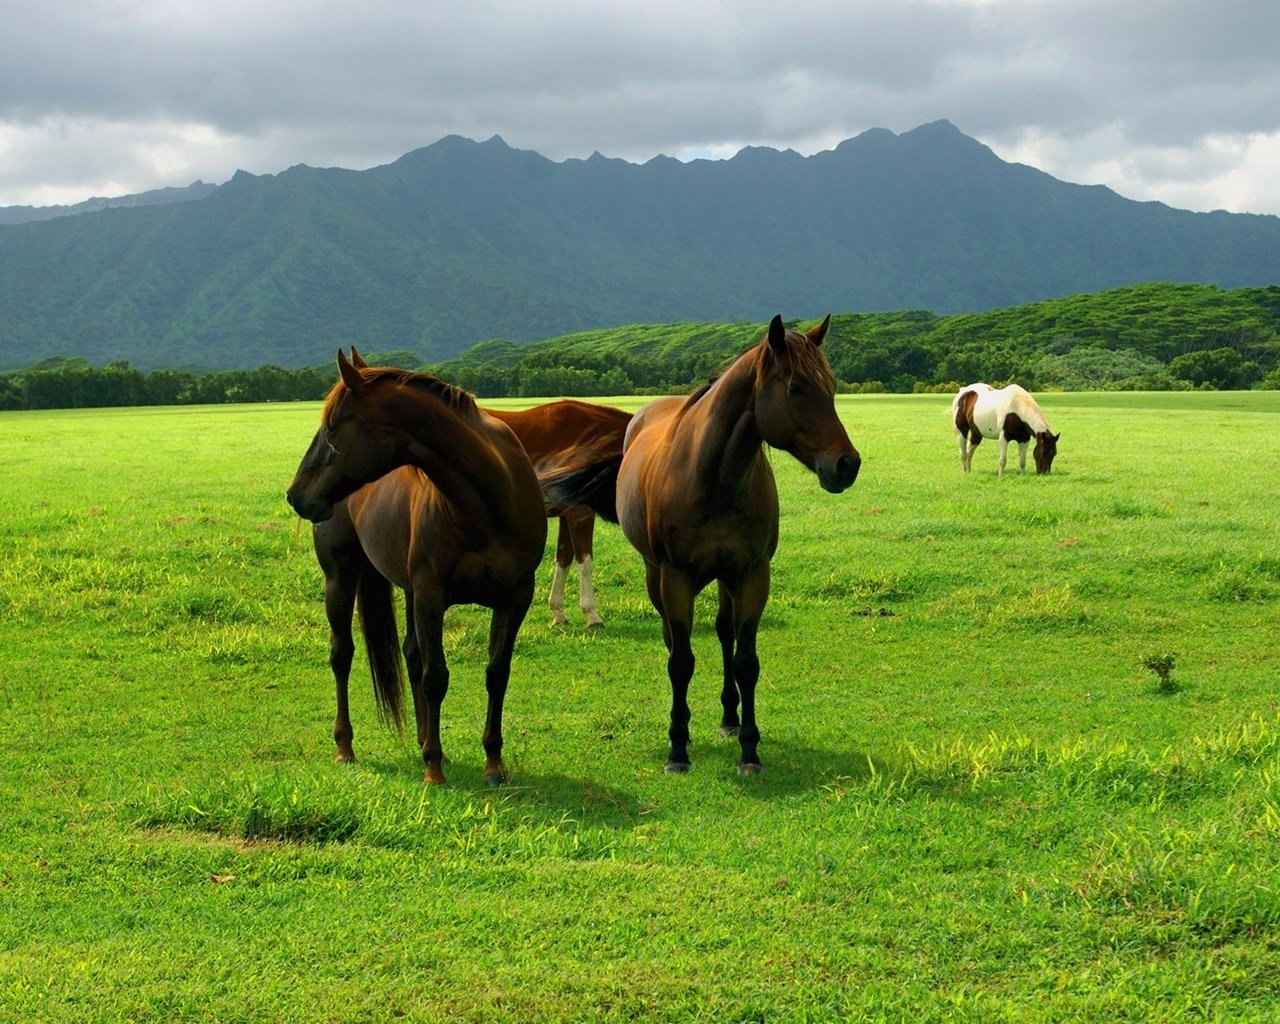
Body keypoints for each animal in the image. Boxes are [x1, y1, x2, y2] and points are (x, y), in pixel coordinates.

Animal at [285, 350, 545, 783]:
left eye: (333, 428)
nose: (295, 495)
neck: (488, 502)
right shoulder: (431, 596)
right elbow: (435, 676)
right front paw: (433, 769)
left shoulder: (515, 597)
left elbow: (497, 674)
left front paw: (493, 762)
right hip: (341, 579)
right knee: (343, 655)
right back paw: (346, 746)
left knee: (410, 654)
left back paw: (425, 740)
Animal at [611, 316, 855, 773]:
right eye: (796, 388)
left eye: (831, 387)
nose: (847, 464)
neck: (712, 477)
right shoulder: (676, 577)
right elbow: (681, 661)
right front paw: (677, 748)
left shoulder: (752, 574)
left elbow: (746, 662)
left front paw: (749, 748)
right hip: (656, 576)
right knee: (672, 640)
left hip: (726, 578)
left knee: (725, 634)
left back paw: (729, 716)